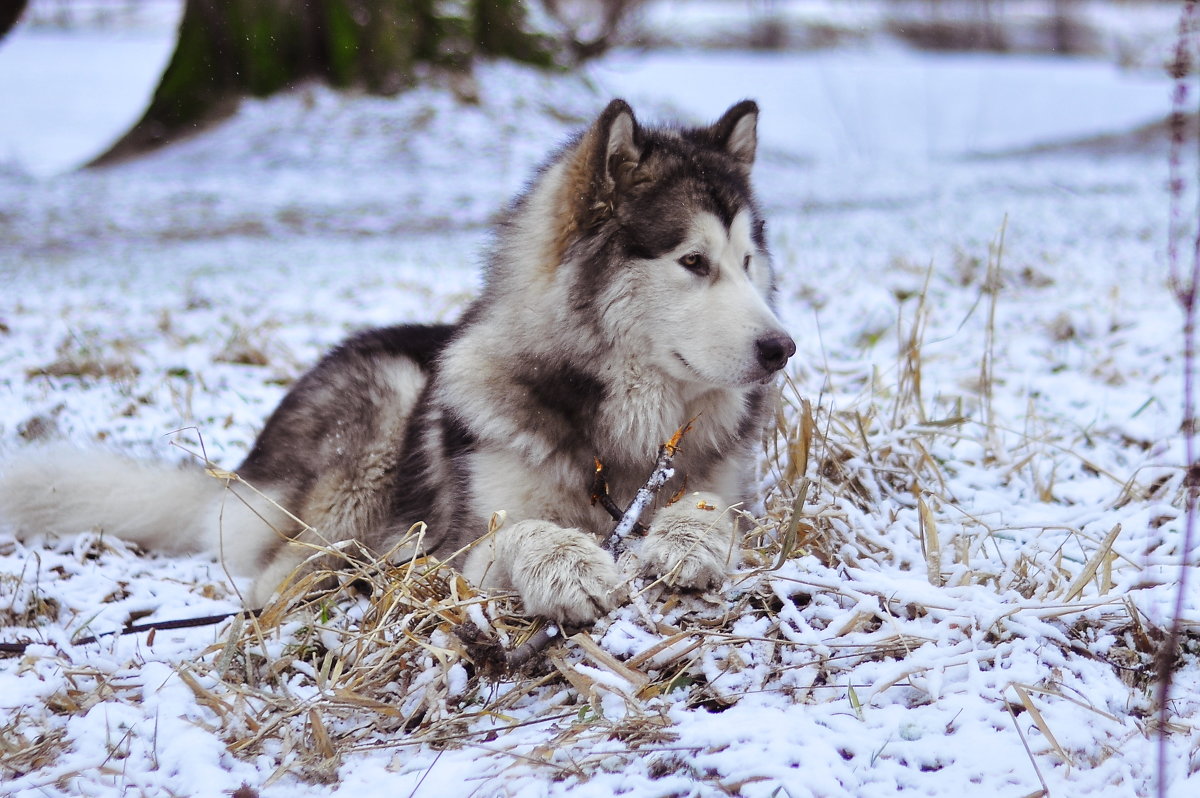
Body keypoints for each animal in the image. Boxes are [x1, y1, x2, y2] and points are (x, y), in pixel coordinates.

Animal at [0, 99, 796, 624]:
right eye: (692, 262)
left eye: (747, 262)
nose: (781, 348)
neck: (619, 435)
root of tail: (248, 472)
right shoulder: (459, 547)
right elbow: (523, 529)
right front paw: (567, 564)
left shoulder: (731, 490)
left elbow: (711, 505)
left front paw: (687, 539)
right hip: (381, 398)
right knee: (277, 574)